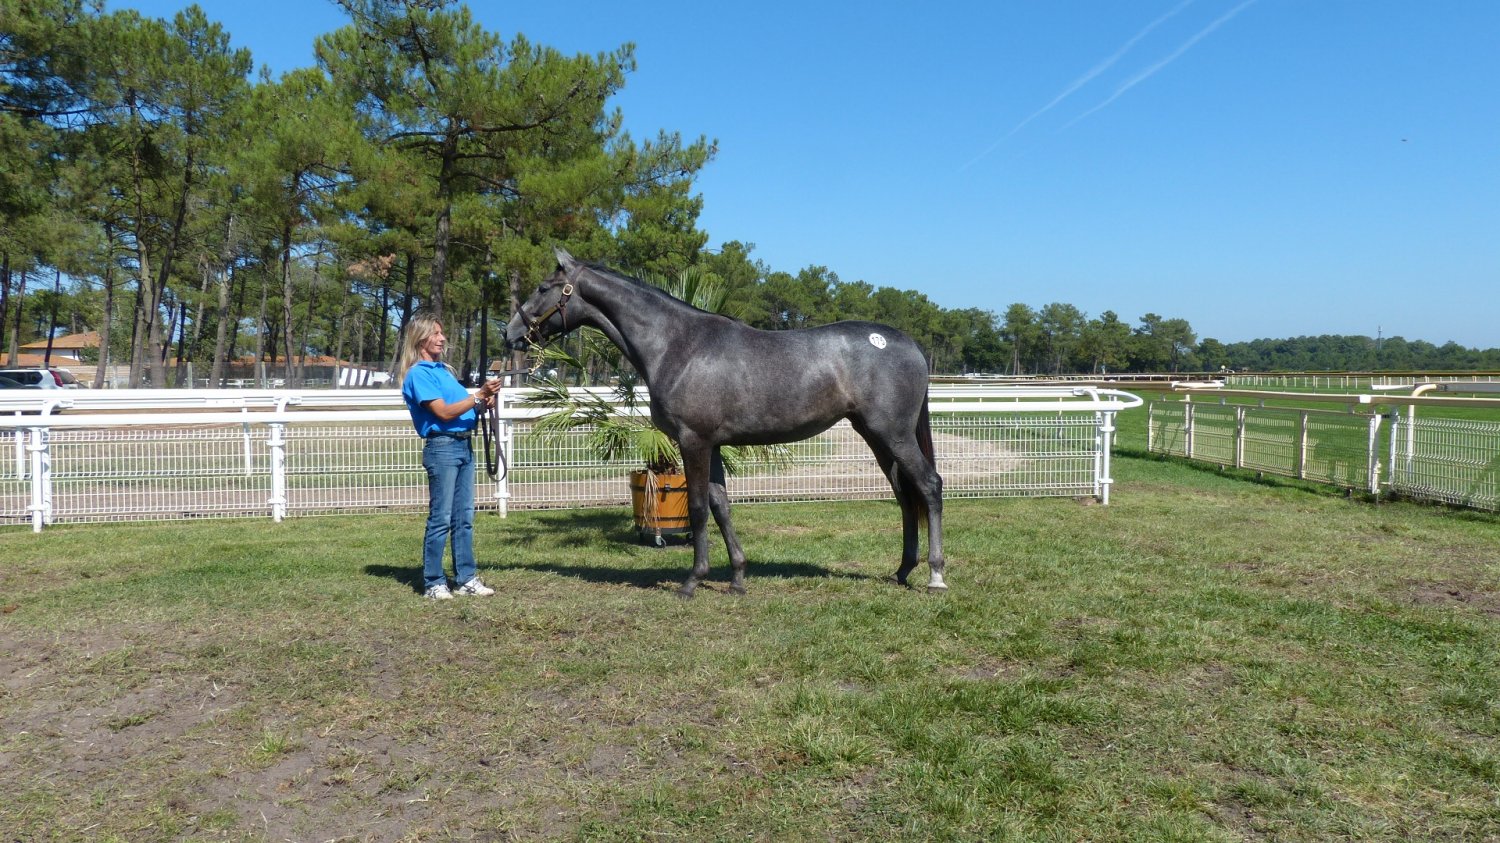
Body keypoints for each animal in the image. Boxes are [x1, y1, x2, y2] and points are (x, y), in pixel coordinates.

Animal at [506, 248, 945, 597]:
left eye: (544, 287)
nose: (509, 333)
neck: (678, 344)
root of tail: (909, 344)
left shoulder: (694, 441)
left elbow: (699, 507)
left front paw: (692, 581)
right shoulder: (713, 445)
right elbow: (721, 506)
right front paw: (736, 578)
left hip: (893, 434)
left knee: (929, 486)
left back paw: (935, 575)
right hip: (875, 436)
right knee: (905, 496)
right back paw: (903, 570)